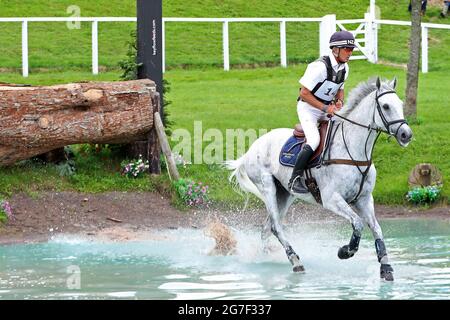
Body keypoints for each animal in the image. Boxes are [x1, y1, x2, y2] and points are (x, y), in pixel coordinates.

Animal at [227, 77, 414, 280]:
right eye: (386, 106)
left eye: (400, 104)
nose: (406, 135)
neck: (355, 150)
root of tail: (251, 149)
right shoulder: (331, 199)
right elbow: (357, 223)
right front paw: (345, 251)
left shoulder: (364, 199)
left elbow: (376, 228)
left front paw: (385, 267)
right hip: (267, 187)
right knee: (276, 226)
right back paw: (295, 261)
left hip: (284, 194)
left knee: (267, 228)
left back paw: (266, 258)